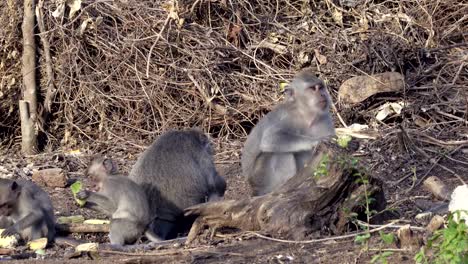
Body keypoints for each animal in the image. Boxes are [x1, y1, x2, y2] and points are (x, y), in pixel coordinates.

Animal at [241, 69, 336, 197]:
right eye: (312, 88)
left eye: (320, 87)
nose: (323, 94)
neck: (306, 115)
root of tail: (254, 189)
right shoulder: (288, 118)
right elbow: (270, 138)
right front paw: (318, 141)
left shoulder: (325, 118)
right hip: (261, 178)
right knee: (276, 153)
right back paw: (285, 184)